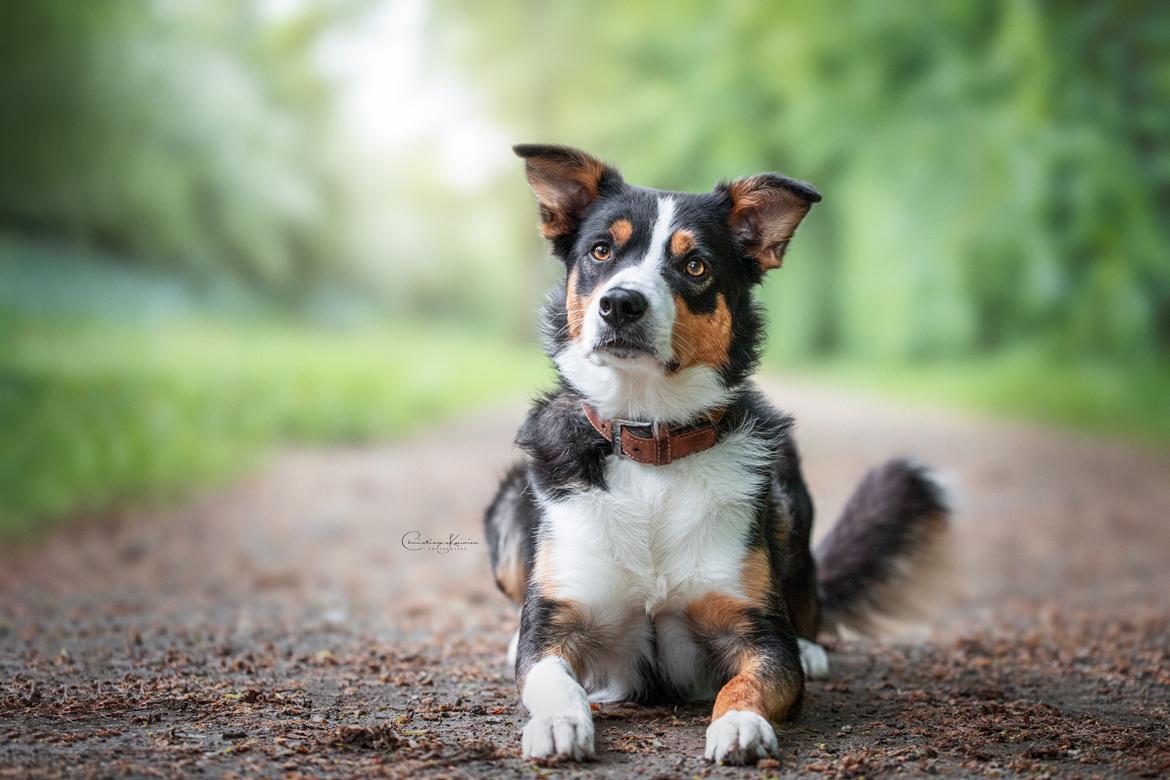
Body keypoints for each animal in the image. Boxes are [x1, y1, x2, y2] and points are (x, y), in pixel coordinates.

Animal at [484, 143, 950, 767]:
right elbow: (548, 674)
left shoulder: (756, 634)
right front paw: (559, 722)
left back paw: (814, 649)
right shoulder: (559, 628)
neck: (652, 441)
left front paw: (741, 724)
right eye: (601, 251)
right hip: (511, 507)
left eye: (696, 265)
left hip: (787, 505)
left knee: (810, 606)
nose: (620, 304)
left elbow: (749, 680)